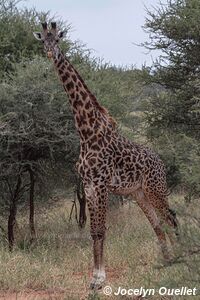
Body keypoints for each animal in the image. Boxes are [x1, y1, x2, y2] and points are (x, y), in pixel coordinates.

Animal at [33, 22, 179, 290]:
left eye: (57, 39)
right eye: (43, 40)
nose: (50, 52)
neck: (86, 131)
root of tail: (161, 162)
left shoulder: (101, 185)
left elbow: (101, 231)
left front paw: (99, 279)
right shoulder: (89, 185)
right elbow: (94, 231)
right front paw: (94, 277)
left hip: (155, 189)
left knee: (170, 219)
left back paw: (181, 256)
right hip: (139, 193)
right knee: (158, 224)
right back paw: (168, 260)